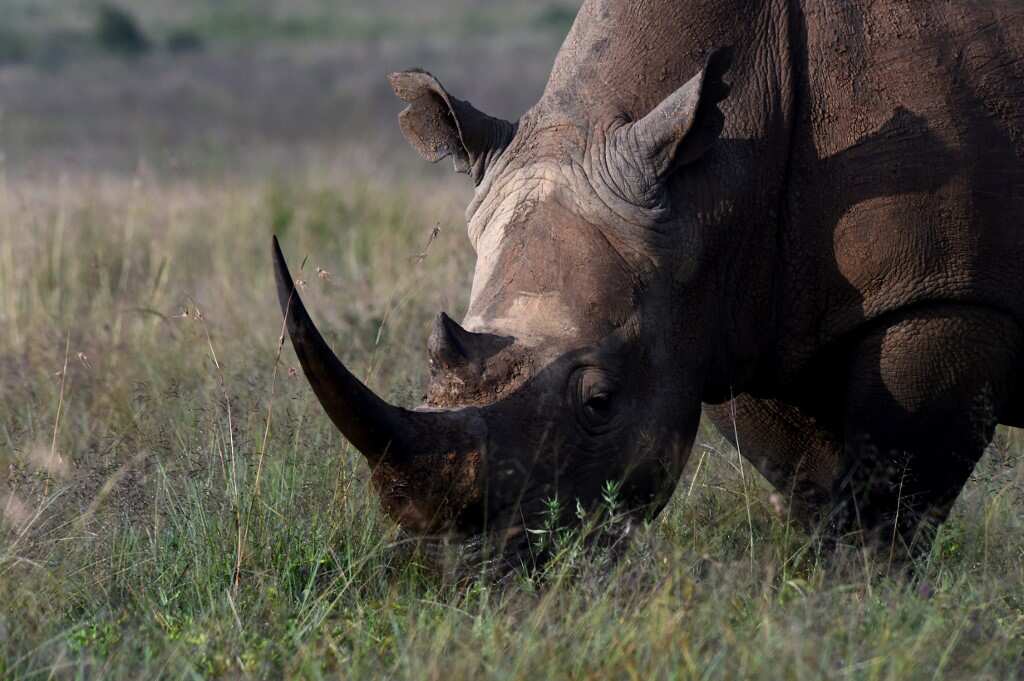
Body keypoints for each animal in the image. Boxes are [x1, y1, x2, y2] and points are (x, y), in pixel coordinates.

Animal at [273, 0, 1024, 561]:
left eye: (600, 402)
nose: (460, 569)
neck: (714, 183)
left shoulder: (946, 297)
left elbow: (886, 507)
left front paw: (860, 603)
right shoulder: (736, 311)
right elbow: (812, 488)